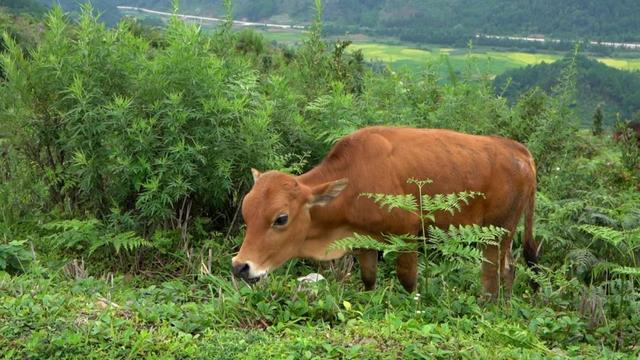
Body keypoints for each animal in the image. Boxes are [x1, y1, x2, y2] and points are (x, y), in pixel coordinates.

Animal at [232, 125, 536, 296]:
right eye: (246, 214)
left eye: (281, 218)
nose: (240, 267)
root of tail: (518, 150)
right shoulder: (363, 240)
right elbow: (368, 278)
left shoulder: (408, 234)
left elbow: (408, 280)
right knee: (510, 270)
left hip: (497, 234)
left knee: (491, 278)